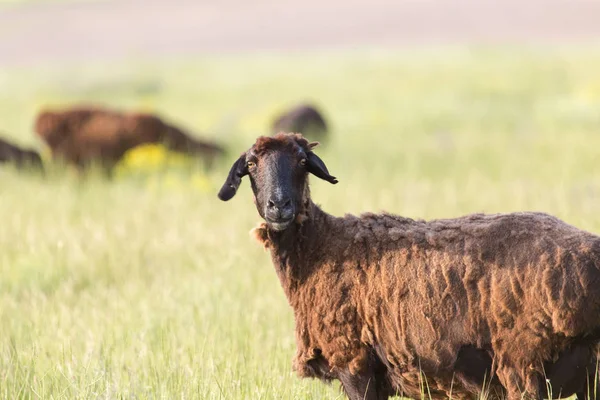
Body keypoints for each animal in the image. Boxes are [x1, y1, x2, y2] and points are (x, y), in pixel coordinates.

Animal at [218, 133, 600, 400]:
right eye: (251, 165)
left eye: (301, 160)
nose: (279, 206)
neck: (319, 247)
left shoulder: (354, 362)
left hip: (524, 365)